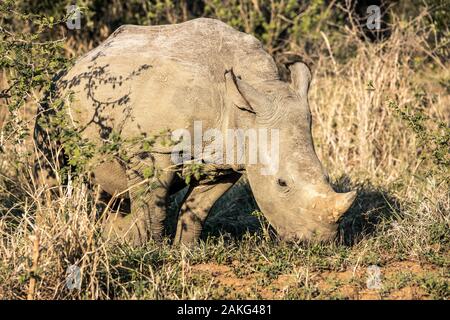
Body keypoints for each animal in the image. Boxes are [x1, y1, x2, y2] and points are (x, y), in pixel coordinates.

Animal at [33, 18, 356, 245]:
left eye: (327, 176)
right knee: (50, 163)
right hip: (52, 98)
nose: (320, 241)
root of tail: (79, 61)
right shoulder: (154, 150)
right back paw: (51, 225)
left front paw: (183, 250)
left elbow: (198, 207)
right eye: (282, 183)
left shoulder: (229, 159)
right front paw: (147, 250)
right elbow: (153, 206)